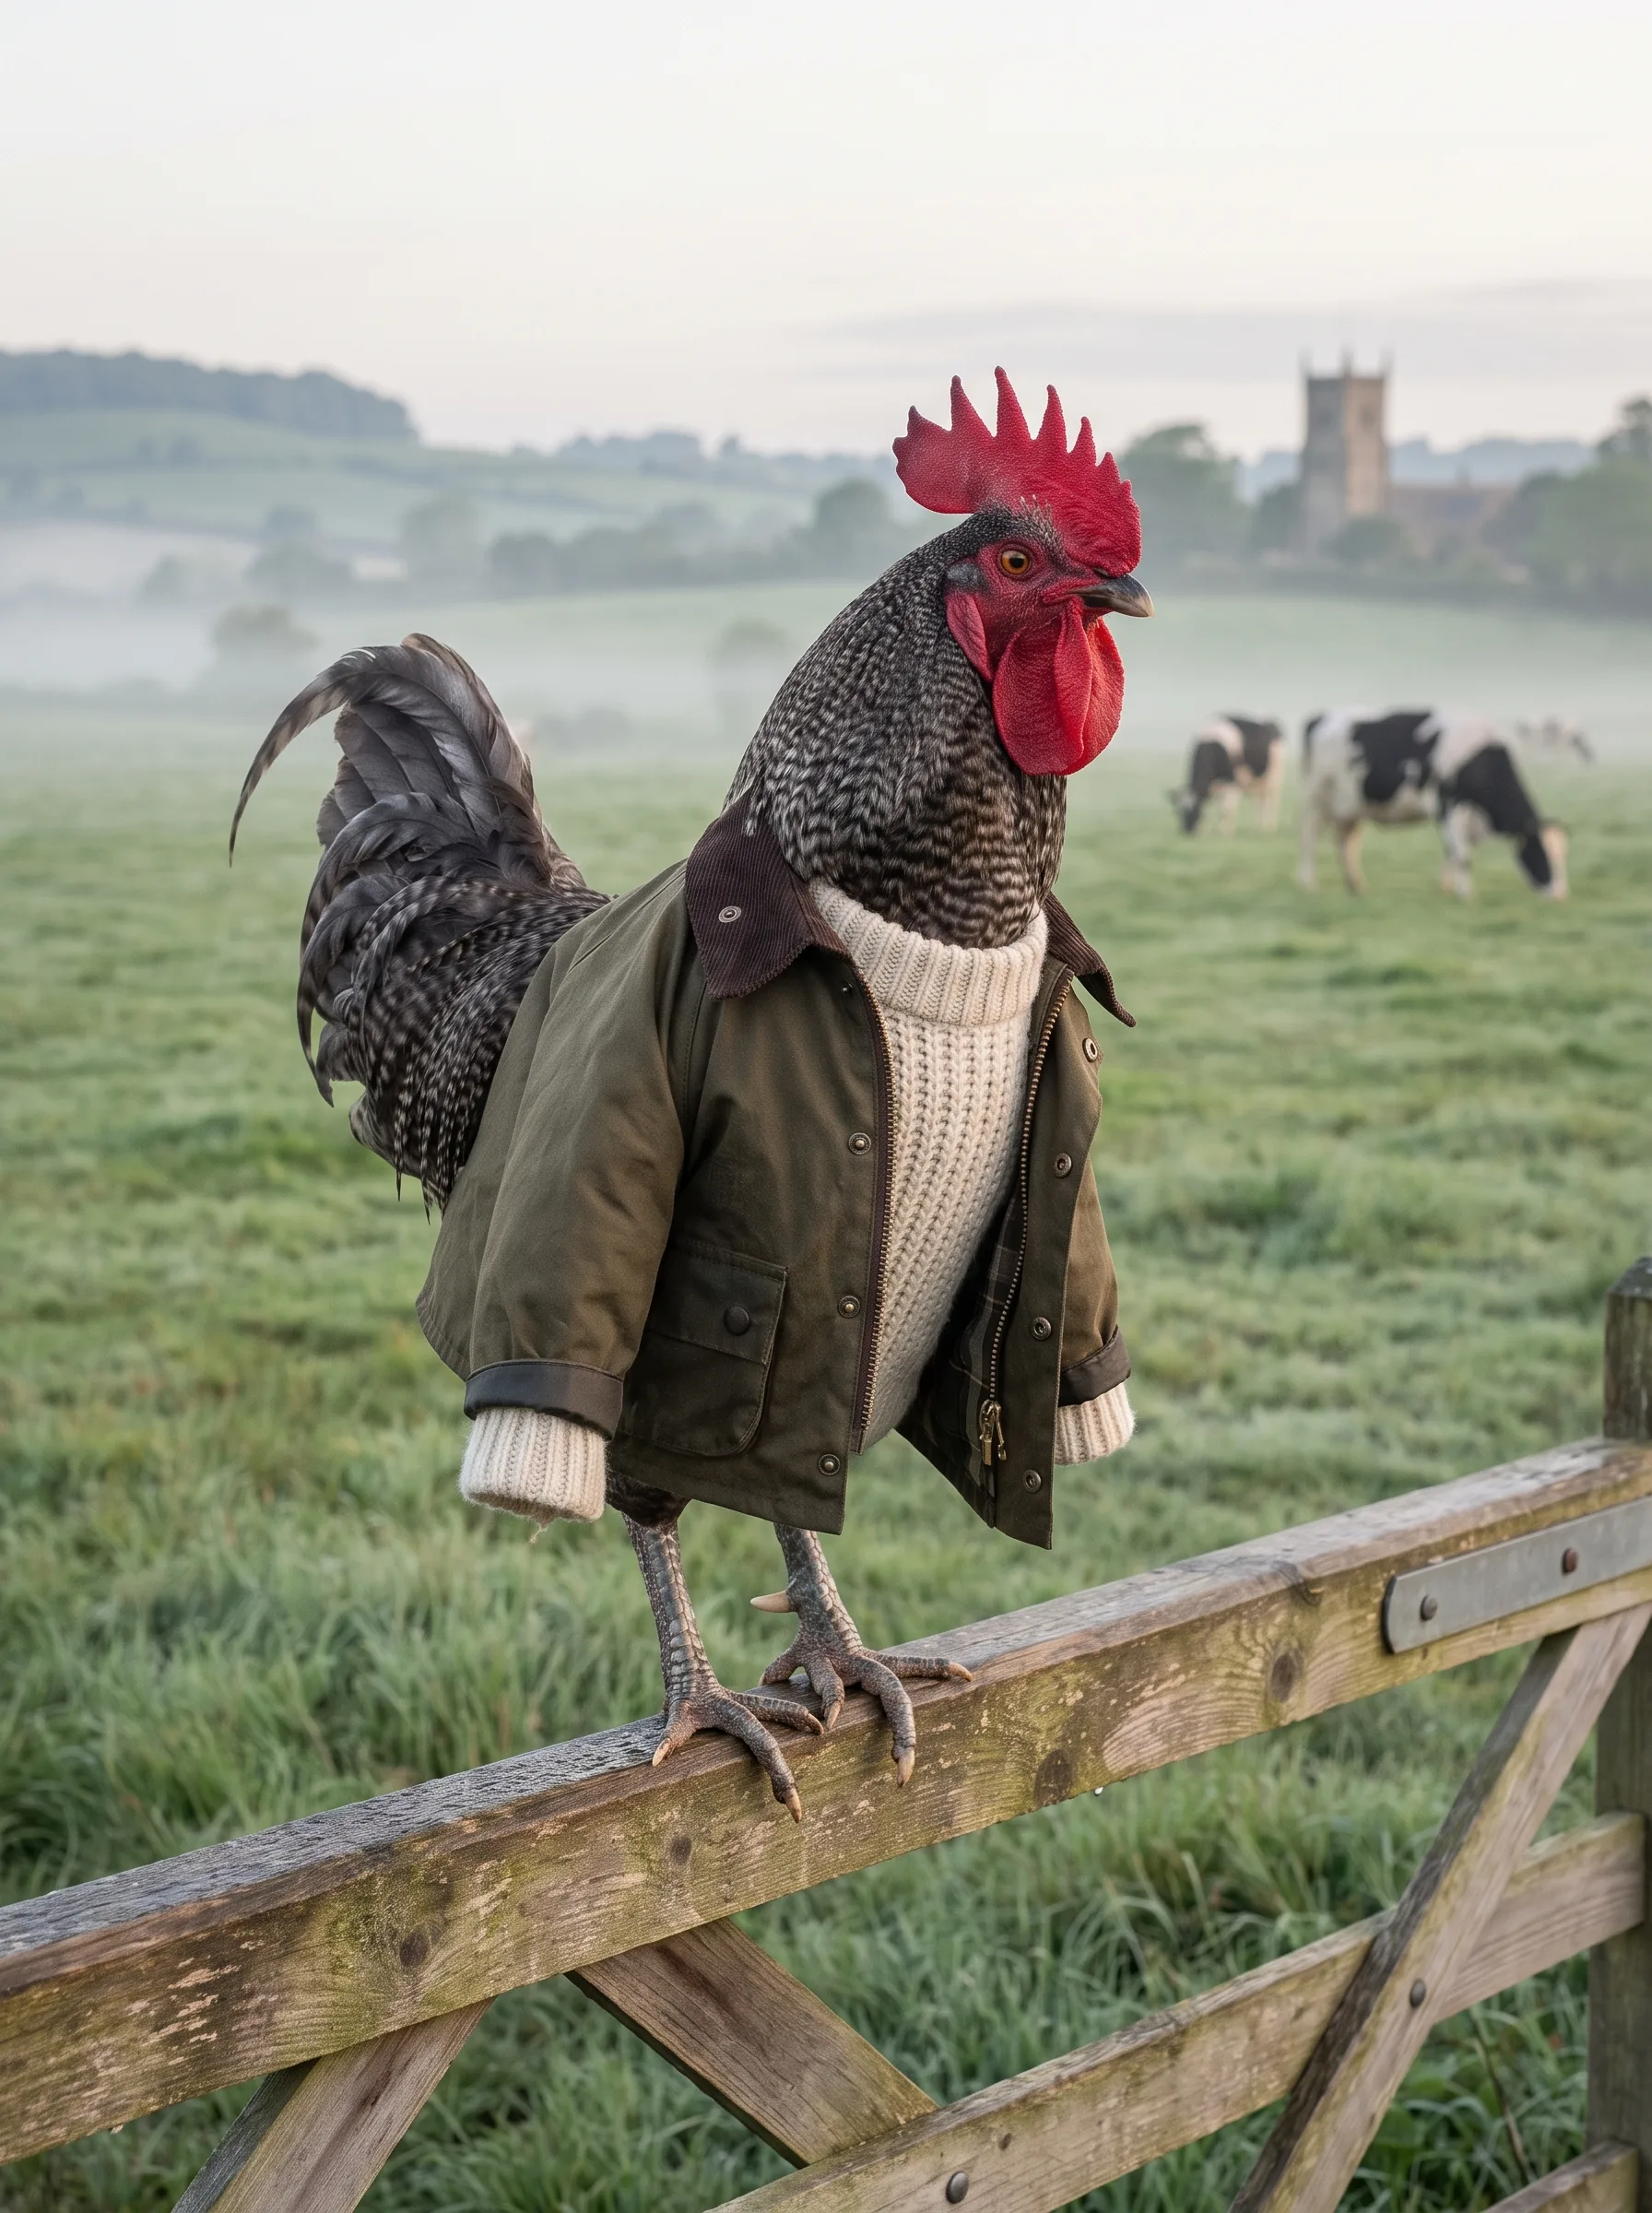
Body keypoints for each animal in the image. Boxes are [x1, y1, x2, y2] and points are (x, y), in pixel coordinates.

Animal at [1170, 714, 1286, 833]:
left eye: (1195, 808)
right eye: (1178, 812)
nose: (1187, 830)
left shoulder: (1232, 782)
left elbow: (1226, 809)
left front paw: (1225, 831)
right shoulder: (1212, 786)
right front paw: (1204, 830)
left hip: (1274, 778)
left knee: (1272, 802)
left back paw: (1269, 827)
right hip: (1258, 782)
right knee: (1259, 802)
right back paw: (1258, 827)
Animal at [1297, 708, 1568, 900]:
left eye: (1562, 856)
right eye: (1540, 852)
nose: (1560, 895)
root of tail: (1321, 716)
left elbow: (1451, 851)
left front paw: (1446, 888)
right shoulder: (1450, 804)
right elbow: (1462, 855)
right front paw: (1466, 896)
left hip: (1352, 806)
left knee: (1347, 844)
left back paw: (1357, 886)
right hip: (1317, 799)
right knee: (1309, 839)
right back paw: (1308, 884)